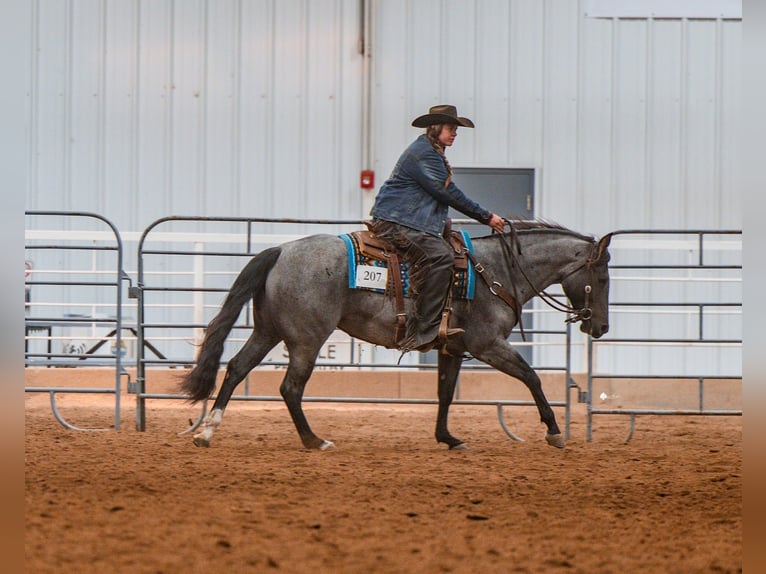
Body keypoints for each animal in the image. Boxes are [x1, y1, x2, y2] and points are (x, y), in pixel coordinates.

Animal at [180, 221, 613, 450]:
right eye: (604, 277)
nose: (601, 327)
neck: (496, 270)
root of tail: (281, 251)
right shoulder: (487, 344)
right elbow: (531, 377)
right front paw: (554, 431)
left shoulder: (452, 348)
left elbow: (445, 392)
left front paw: (447, 437)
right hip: (306, 339)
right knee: (290, 388)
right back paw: (314, 440)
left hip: (268, 330)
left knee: (236, 368)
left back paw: (207, 431)